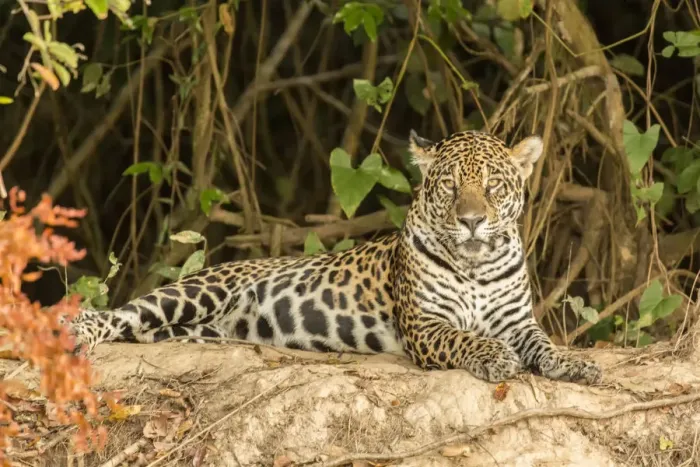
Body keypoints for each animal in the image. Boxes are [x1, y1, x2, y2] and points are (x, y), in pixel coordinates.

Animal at [69, 130, 602, 385]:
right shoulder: (426, 326)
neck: (475, 263)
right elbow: (463, 338)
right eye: (451, 186)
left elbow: (544, 344)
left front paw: (574, 365)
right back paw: (77, 332)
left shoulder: (519, 321)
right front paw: (495, 357)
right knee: (118, 314)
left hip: (201, 326)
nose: (472, 220)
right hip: (196, 289)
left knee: (146, 330)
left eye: (493, 186)